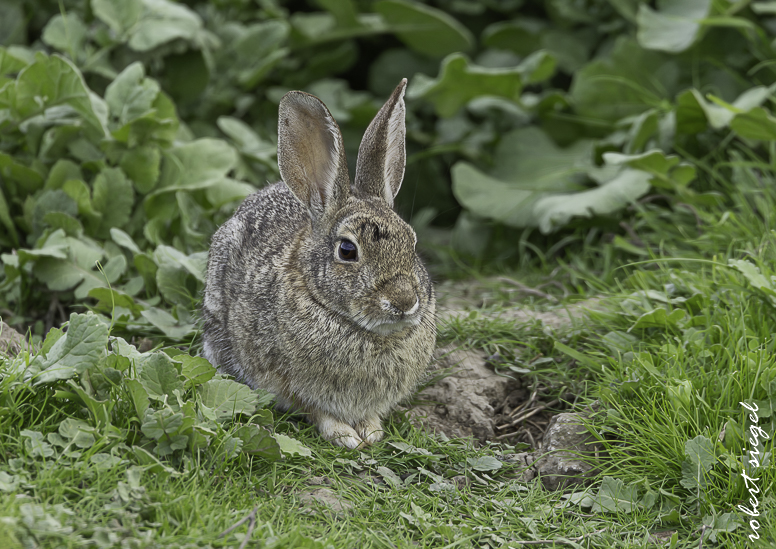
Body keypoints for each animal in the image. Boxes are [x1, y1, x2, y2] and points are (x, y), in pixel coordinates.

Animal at [201, 79, 436, 449]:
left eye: (411, 242)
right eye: (347, 250)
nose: (404, 301)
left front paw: (371, 431)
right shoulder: (287, 382)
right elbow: (316, 410)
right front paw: (346, 436)